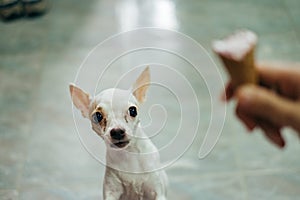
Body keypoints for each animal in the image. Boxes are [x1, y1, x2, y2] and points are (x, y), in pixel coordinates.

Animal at [70, 67, 169, 200]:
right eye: (97, 116)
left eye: (133, 110)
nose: (117, 131)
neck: (129, 155)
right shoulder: (111, 191)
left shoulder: (157, 191)